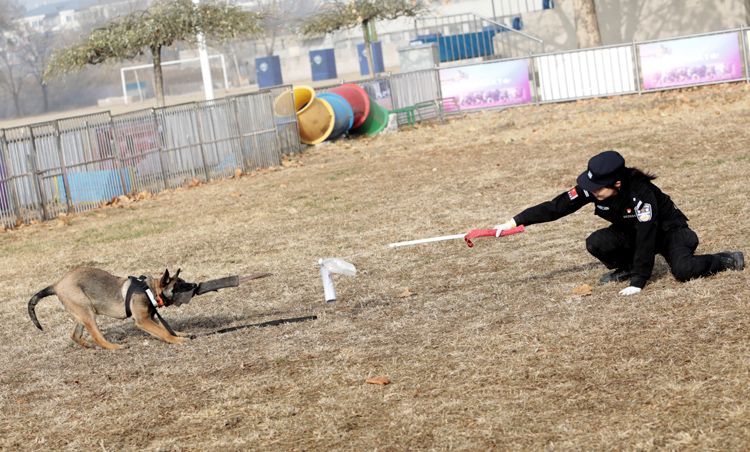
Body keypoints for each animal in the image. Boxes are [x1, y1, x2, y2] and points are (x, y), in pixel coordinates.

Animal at [28, 266, 194, 352]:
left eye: (183, 281)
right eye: (178, 285)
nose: (195, 285)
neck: (149, 290)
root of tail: (56, 285)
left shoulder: (151, 318)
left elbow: (166, 328)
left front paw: (180, 334)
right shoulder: (143, 321)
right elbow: (164, 333)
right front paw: (177, 340)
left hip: (81, 314)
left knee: (75, 335)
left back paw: (89, 345)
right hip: (88, 312)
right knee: (97, 336)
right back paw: (114, 346)